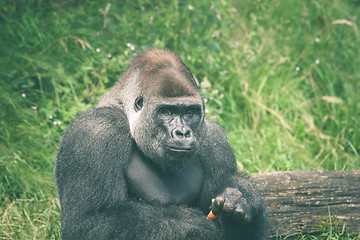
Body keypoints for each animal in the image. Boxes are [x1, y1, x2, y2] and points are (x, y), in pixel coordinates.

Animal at [55, 49, 268, 240]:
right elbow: (89, 222)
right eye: (167, 111)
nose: (182, 132)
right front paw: (192, 225)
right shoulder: (95, 131)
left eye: (189, 112)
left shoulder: (216, 142)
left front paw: (242, 196)